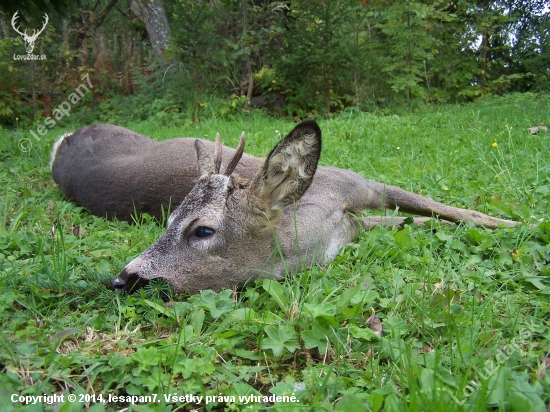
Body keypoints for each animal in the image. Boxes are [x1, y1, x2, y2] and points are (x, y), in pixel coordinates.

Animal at [49, 120, 520, 294]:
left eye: (203, 230)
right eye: (167, 221)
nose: (124, 278)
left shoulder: (360, 185)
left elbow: (451, 211)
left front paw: (513, 222)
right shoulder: (356, 225)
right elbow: (414, 221)